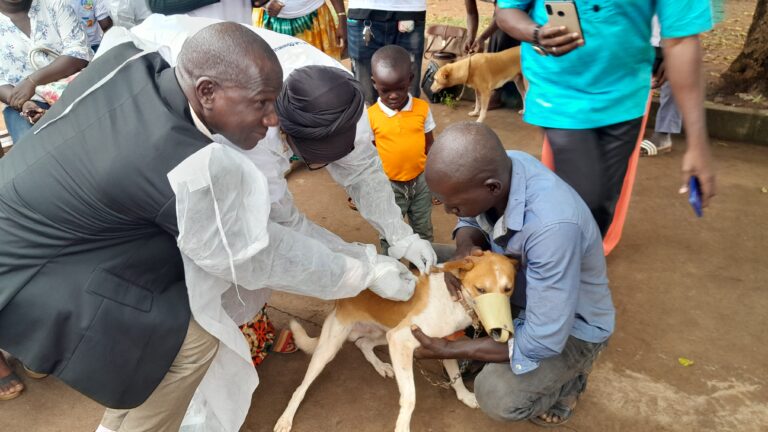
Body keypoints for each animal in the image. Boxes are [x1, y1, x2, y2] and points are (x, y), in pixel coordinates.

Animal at [272, 251, 520, 432]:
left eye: (508, 290)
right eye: (481, 289)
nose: (499, 331)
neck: (457, 300)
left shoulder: (440, 343)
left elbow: (454, 375)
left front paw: (465, 396)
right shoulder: (402, 340)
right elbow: (410, 397)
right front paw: (402, 427)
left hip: (384, 333)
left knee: (362, 344)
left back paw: (381, 366)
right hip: (333, 346)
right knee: (301, 387)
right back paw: (286, 419)